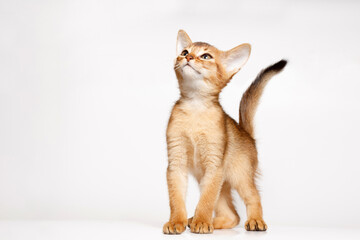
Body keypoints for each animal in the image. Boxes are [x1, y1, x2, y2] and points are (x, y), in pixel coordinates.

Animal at [164, 30, 286, 234]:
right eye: (184, 51)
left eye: (206, 56)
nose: (188, 57)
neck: (195, 107)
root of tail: (245, 133)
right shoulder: (176, 161)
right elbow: (176, 198)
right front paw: (176, 222)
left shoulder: (214, 165)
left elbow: (206, 200)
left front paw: (201, 222)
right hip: (219, 182)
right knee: (233, 215)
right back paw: (205, 221)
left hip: (240, 176)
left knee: (253, 197)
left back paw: (255, 221)